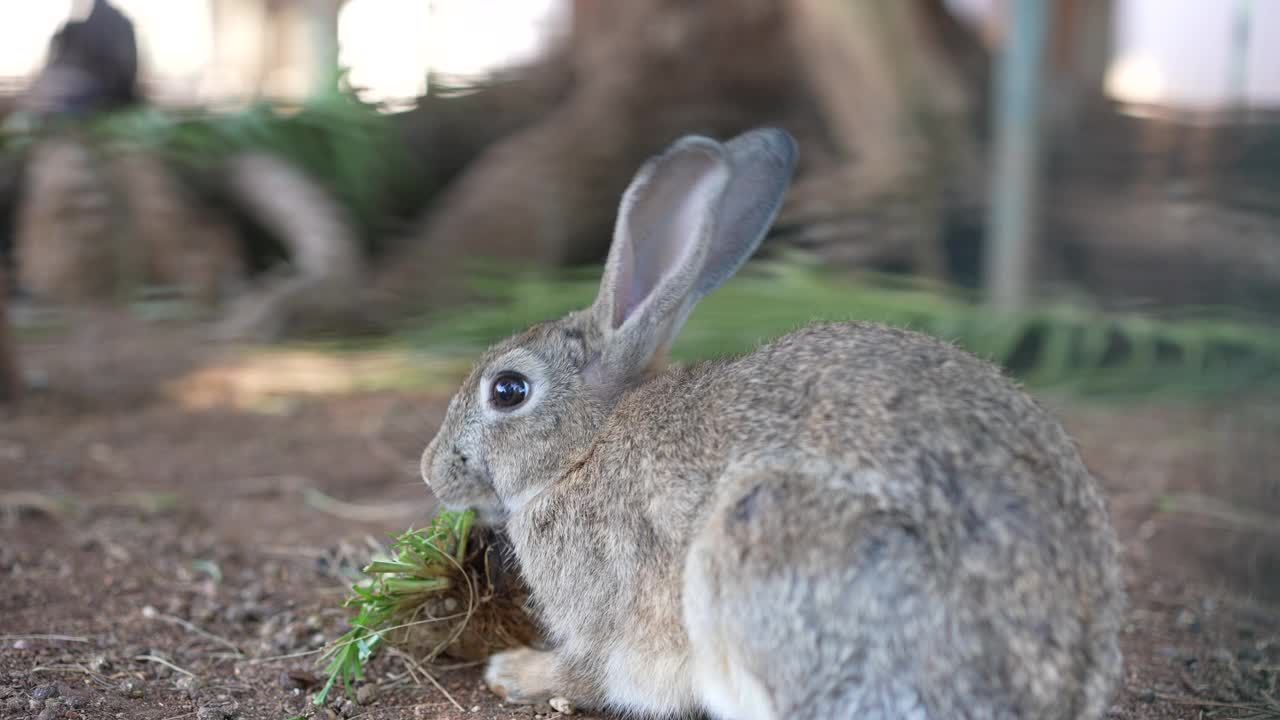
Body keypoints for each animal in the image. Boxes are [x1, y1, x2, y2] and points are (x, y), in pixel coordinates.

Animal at [422, 126, 1121, 712]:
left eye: (508, 390)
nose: (431, 471)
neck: (587, 442)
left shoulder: (606, 617)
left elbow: (591, 672)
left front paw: (514, 672)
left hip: (767, 543)